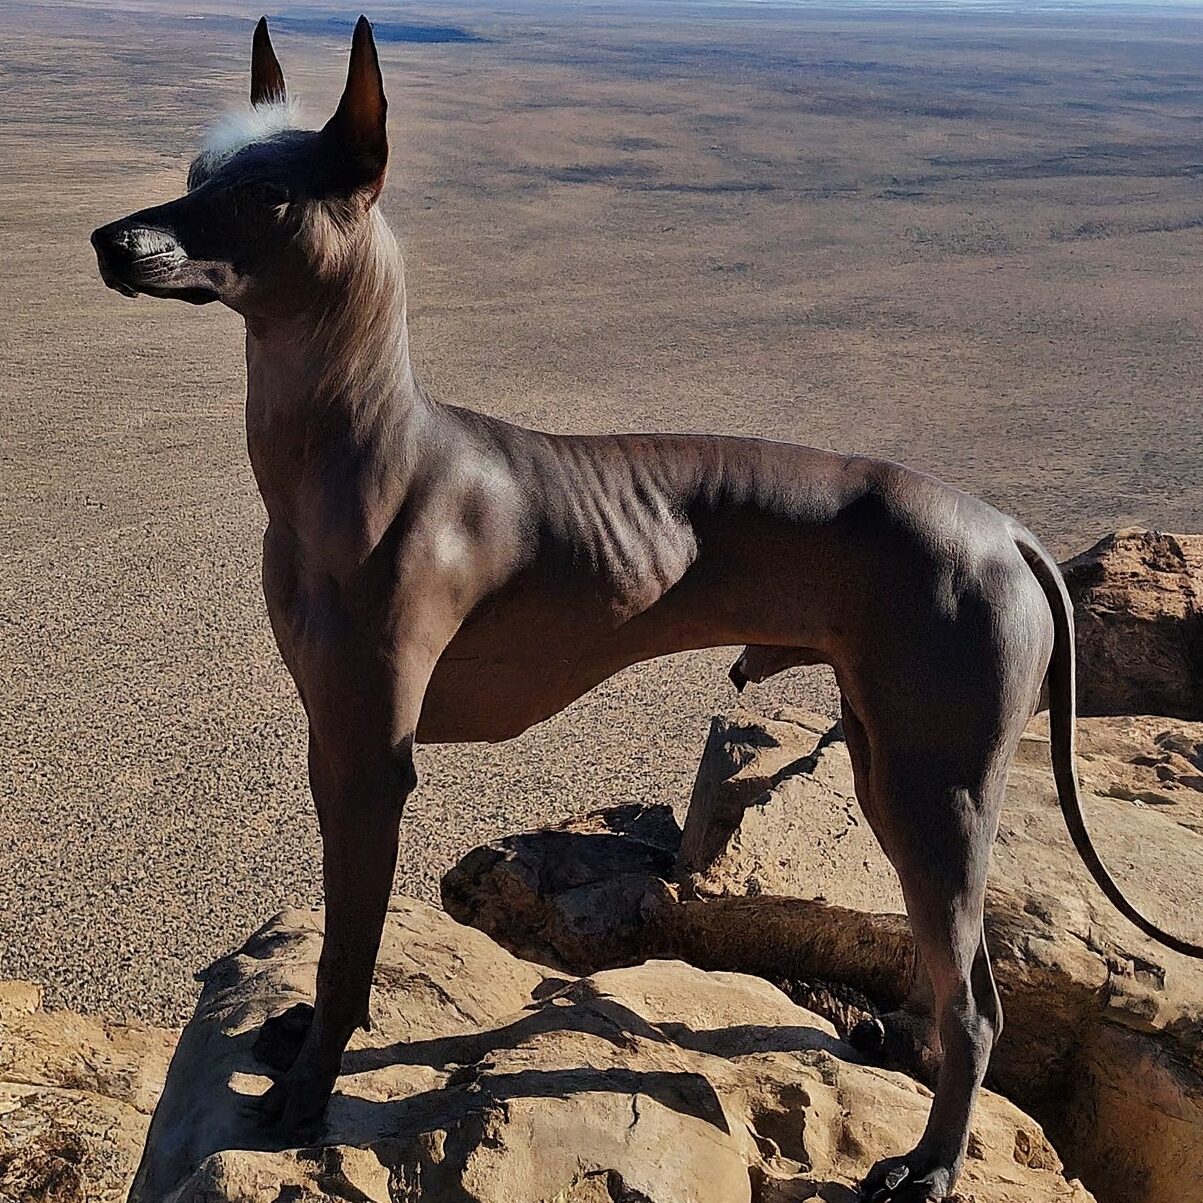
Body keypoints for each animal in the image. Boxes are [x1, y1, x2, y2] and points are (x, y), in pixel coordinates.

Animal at [91, 16, 1203, 1193]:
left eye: (267, 194)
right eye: (197, 174)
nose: (111, 241)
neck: (359, 453)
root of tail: (1003, 528)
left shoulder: (370, 758)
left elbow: (354, 949)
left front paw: (307, 1092)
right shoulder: (327, 739)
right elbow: (340, 936)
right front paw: (300, 1037)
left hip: (933, 787)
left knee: (977, 1006)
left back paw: (932, 1165)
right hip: (889, 761)